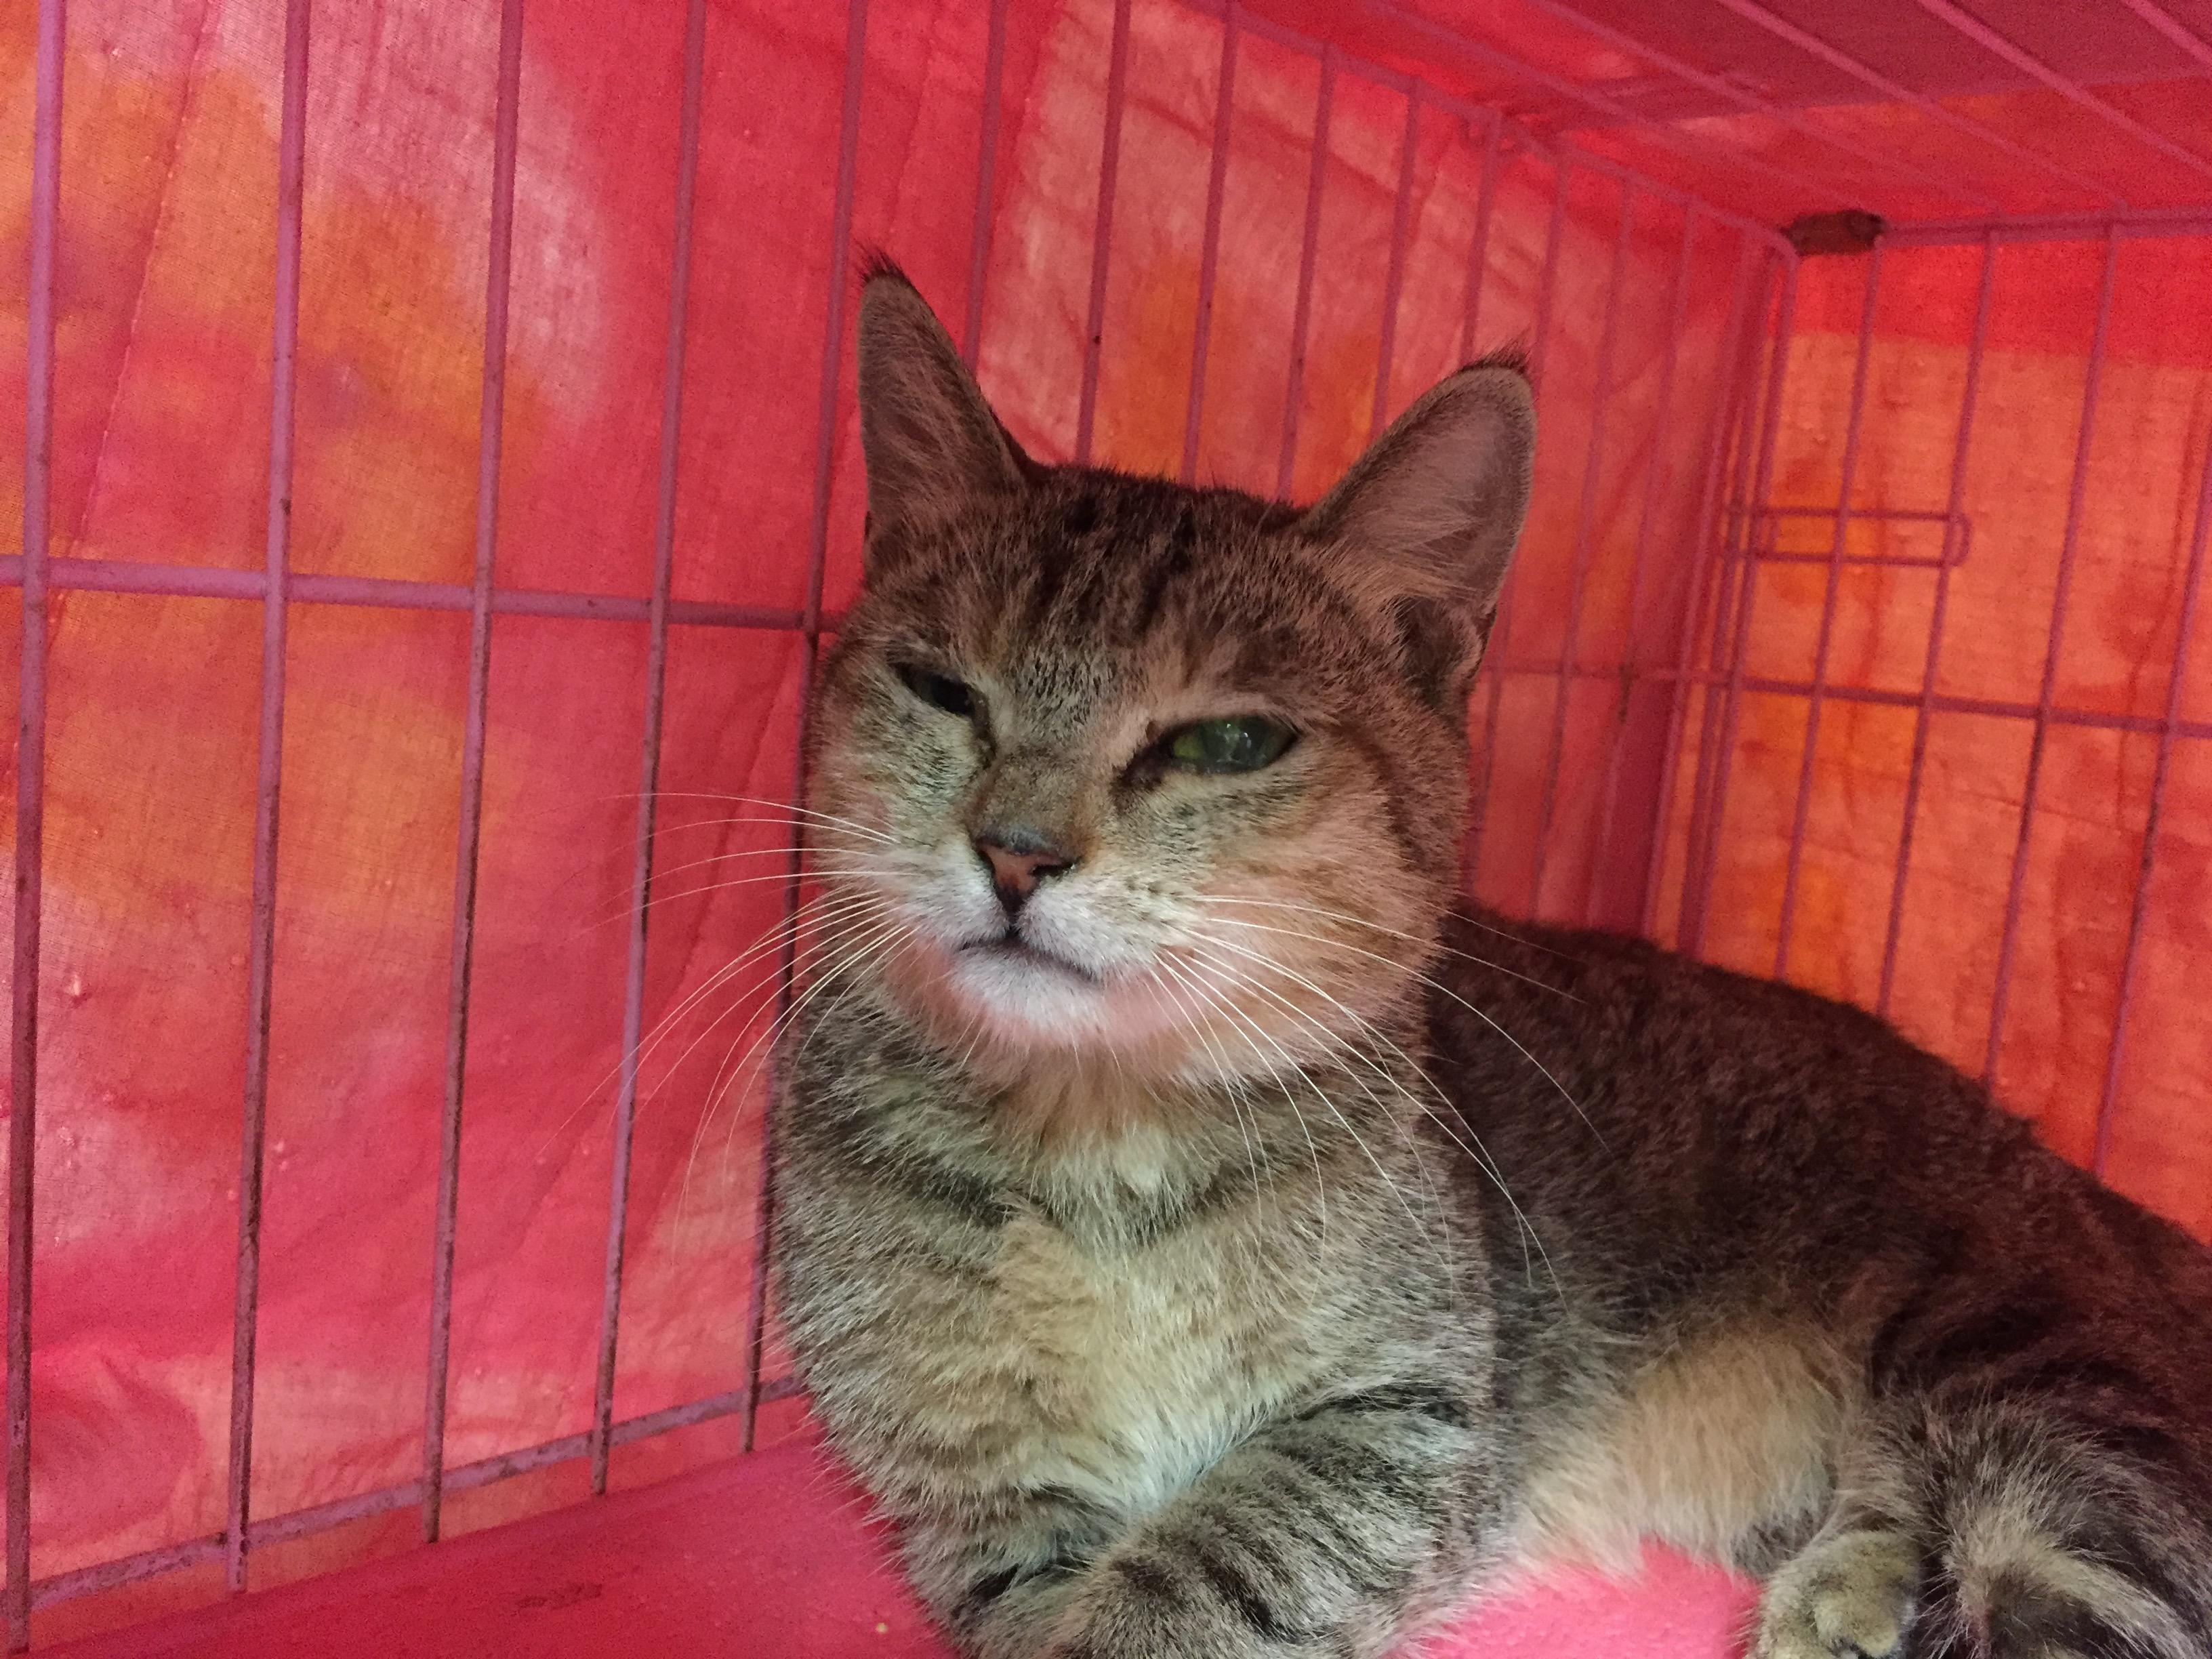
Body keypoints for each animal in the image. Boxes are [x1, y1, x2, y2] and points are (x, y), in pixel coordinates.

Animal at [769, 261, 2212, 1659]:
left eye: (1226, 743)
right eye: (940, 688)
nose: (1014, 852)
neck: (1090, 1154)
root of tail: (2089, 1189)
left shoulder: (1405, 1417)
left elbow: (1208, 1567)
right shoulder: (978, 1507)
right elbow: (1030, 1594)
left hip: (2044, 1388)